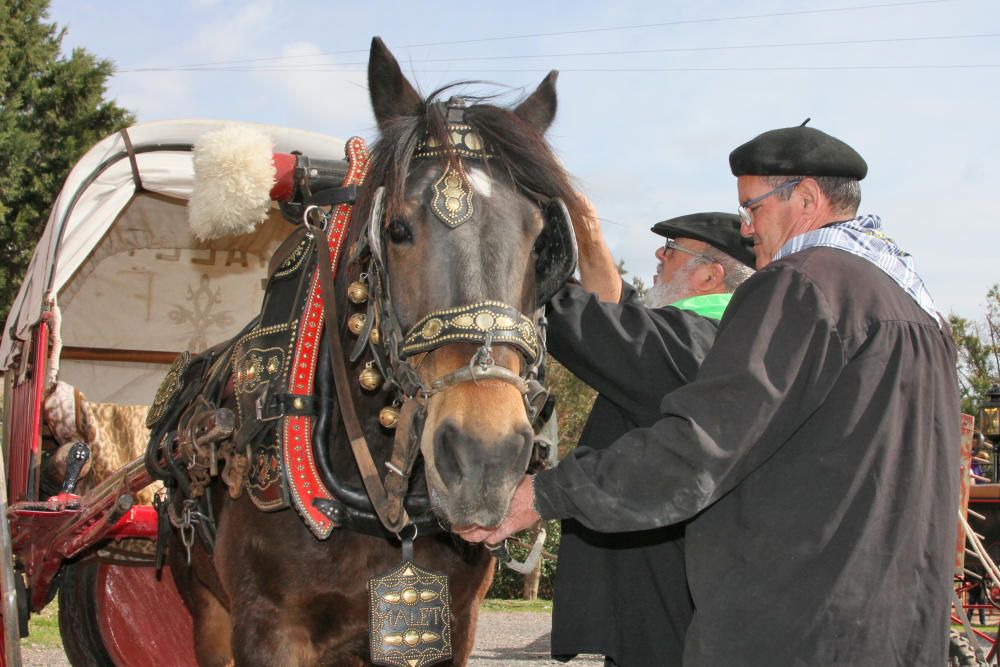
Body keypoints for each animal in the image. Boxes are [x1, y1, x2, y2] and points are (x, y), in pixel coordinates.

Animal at [146, 37, 584, 667]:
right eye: (396, 229)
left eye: (538, 237)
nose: (485, 456)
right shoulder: (267, 628)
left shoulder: (455, 627)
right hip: (205, 607)